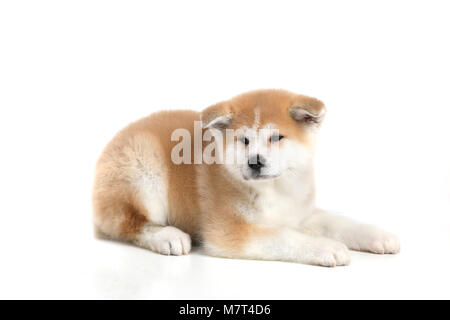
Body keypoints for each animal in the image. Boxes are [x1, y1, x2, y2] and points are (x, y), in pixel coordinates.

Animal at [93, 89, 400, 266]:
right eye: (244, 140)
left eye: (276, 137)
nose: (255, 162)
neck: (275, 190)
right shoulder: (229, 232)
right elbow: (285, 237)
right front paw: (326, 247)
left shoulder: (301, 213)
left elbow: (339, 222)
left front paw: (378, 236)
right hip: (143, 166)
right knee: (129, 225)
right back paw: (168, 236)